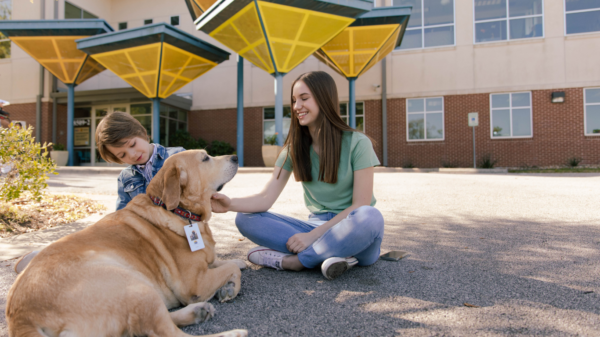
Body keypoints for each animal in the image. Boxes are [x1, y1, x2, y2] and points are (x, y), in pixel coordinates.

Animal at [7, 150, 246, 336]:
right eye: (205, 158)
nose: (235, 156)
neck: (178, 211)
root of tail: (21, 317)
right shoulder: (194, 285)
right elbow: (230, 268)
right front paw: (230, 286)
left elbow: (226, 262)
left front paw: (234, 271)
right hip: (135, 286)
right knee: (165, 332)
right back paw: (232, 332)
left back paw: (198, 312)